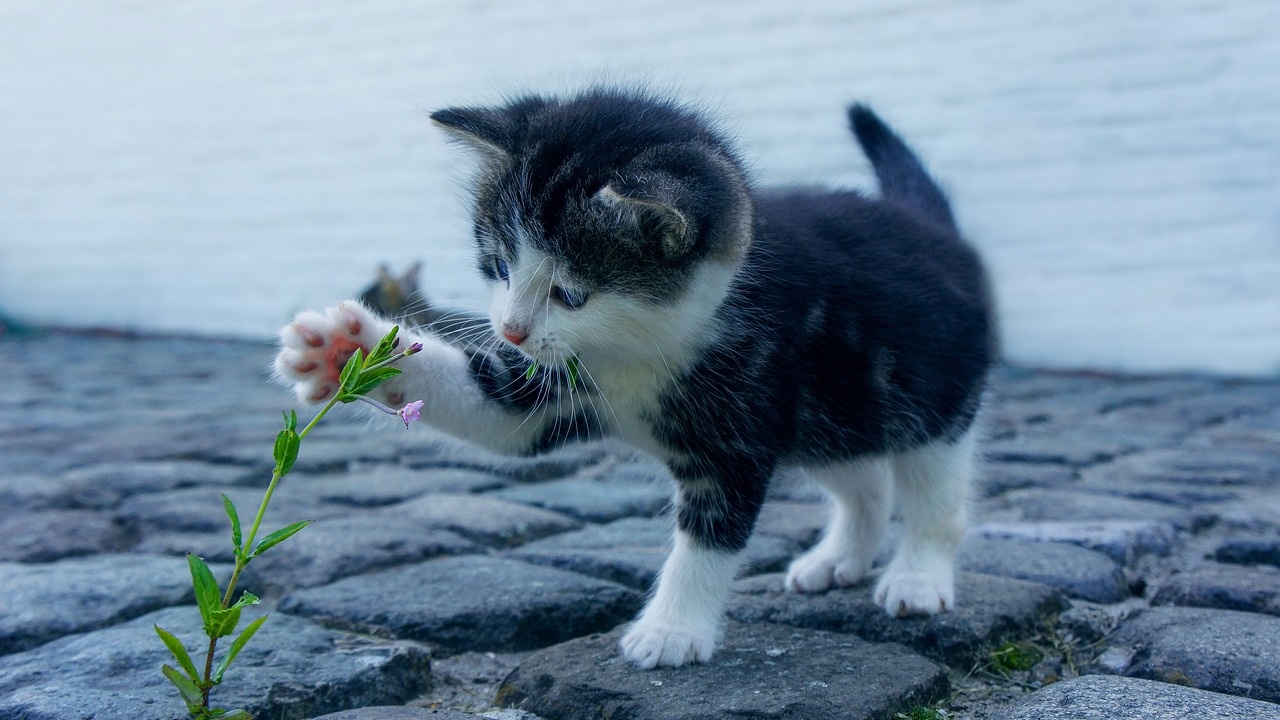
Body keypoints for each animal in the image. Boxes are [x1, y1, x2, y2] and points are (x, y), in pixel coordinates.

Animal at [275, 88, 993, 666]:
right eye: (500, 265)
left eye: (570, 294)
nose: (510, 329)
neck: (639, 348)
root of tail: (934, 228)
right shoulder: (554, 385)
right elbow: (497, 411)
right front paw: (347, 349)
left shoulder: (740, 423)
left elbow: (708, 537)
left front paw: (672, 631)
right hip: (830, 412)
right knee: (863, 478)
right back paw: (839, 557)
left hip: (930, 397)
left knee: (933, 492)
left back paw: (917, 577)